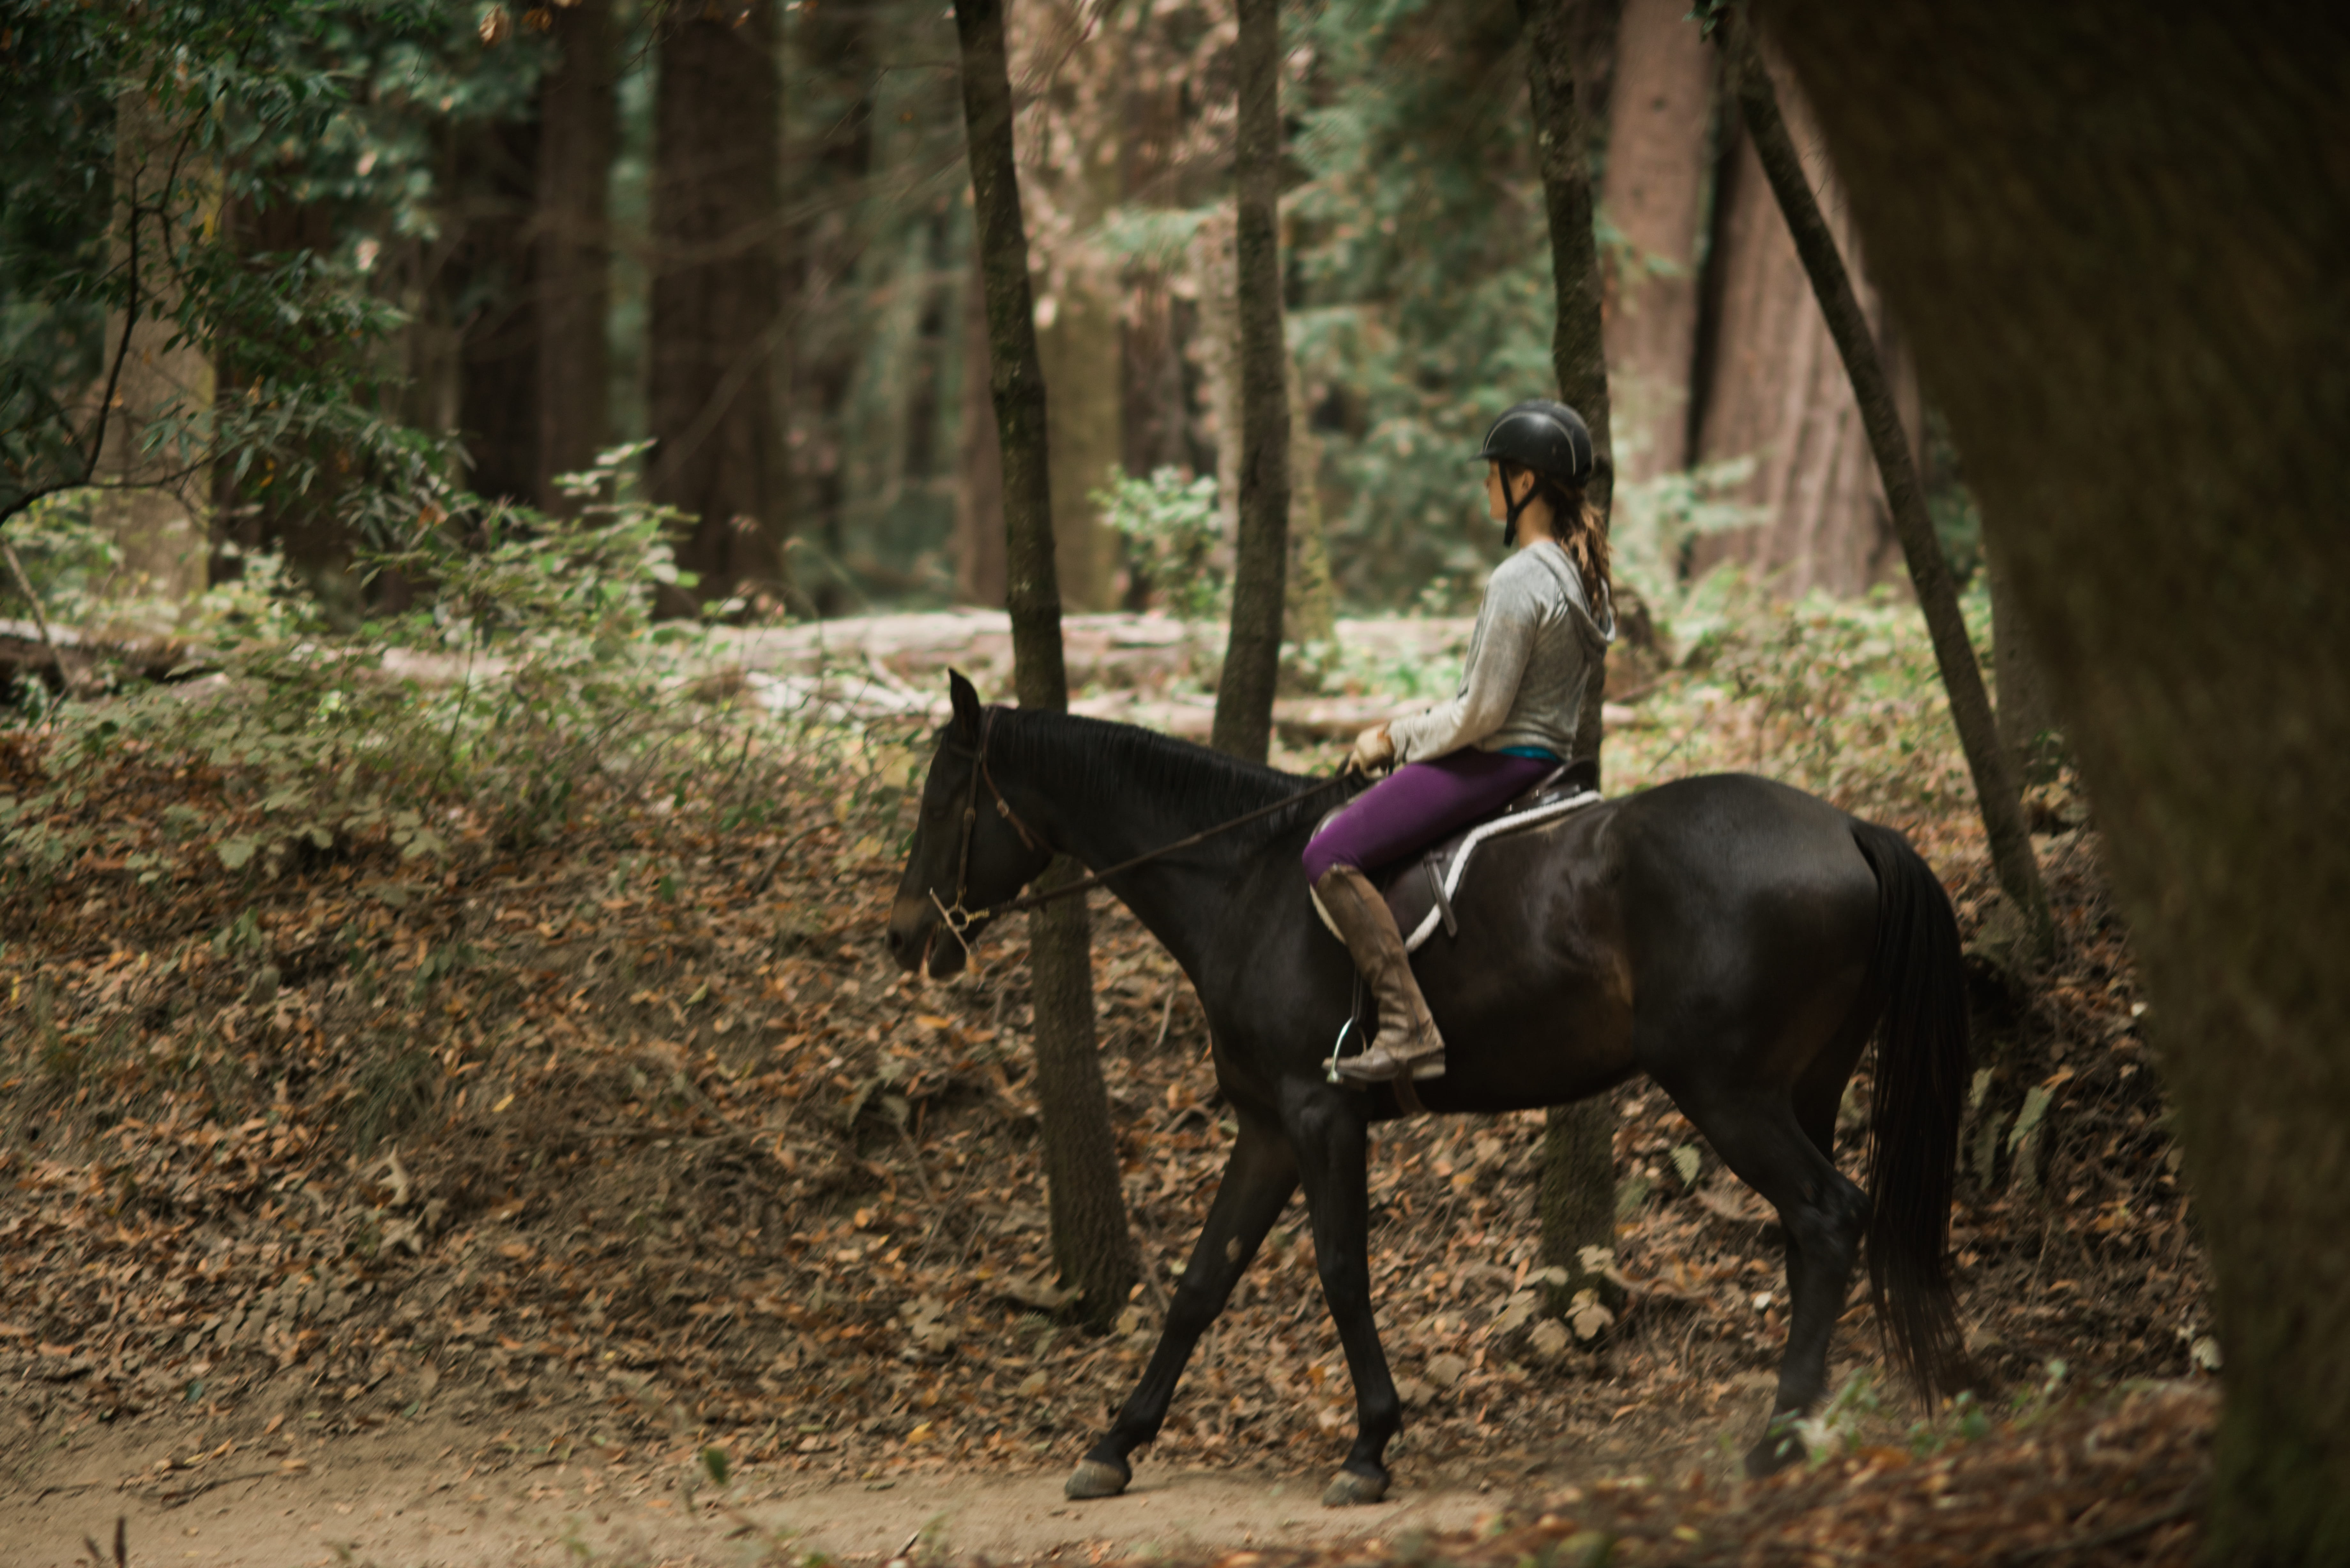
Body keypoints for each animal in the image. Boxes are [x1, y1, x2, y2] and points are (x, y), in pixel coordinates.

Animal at [885, 671, 1969, 1507]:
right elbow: (1202, 1281)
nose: (903, 938)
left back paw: (1776, 1445)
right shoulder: (1266, 1125)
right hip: (1802, 1088)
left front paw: (1368, 1448)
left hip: (1727, 1091)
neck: (1245, 884)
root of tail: (1848, 826)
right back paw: (1805, 1429)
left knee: (1827, 1216)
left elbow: (1339, 1269)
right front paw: (1114, 1444)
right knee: (1809, 1235)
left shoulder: (1320, 1113)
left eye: (940, 803)